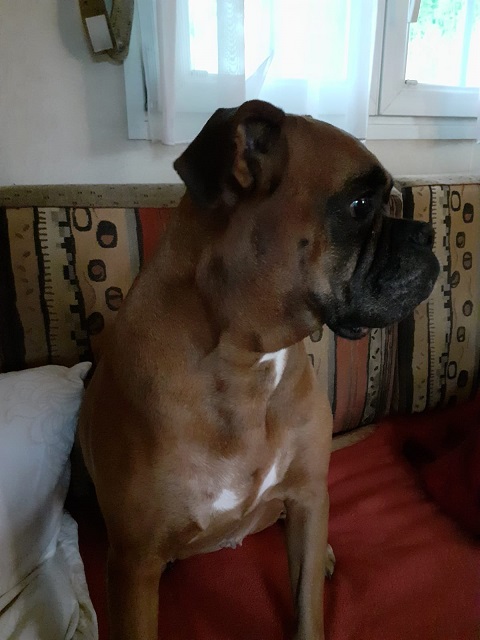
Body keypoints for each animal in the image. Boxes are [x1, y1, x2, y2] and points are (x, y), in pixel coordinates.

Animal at [78, 100, 439, 640]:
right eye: (360, 205)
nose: (428, 232)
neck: (246, 362)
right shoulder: (133, 564)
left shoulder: (309, 494)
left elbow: (307, 606)